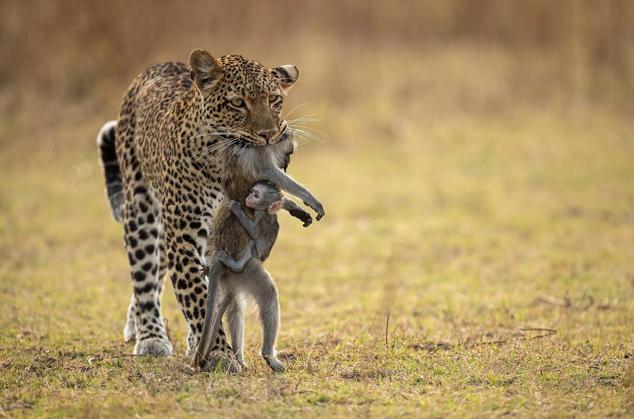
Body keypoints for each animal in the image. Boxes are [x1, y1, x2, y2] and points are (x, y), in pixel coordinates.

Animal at [95, 47, 320, 372]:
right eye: (238, 102)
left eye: (274, 100)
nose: (269, 134)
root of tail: (155, 67)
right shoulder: (183, 235)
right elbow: (198, 298)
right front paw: (218, 353)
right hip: (143, 211)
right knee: (145, 276)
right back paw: (150, 335)